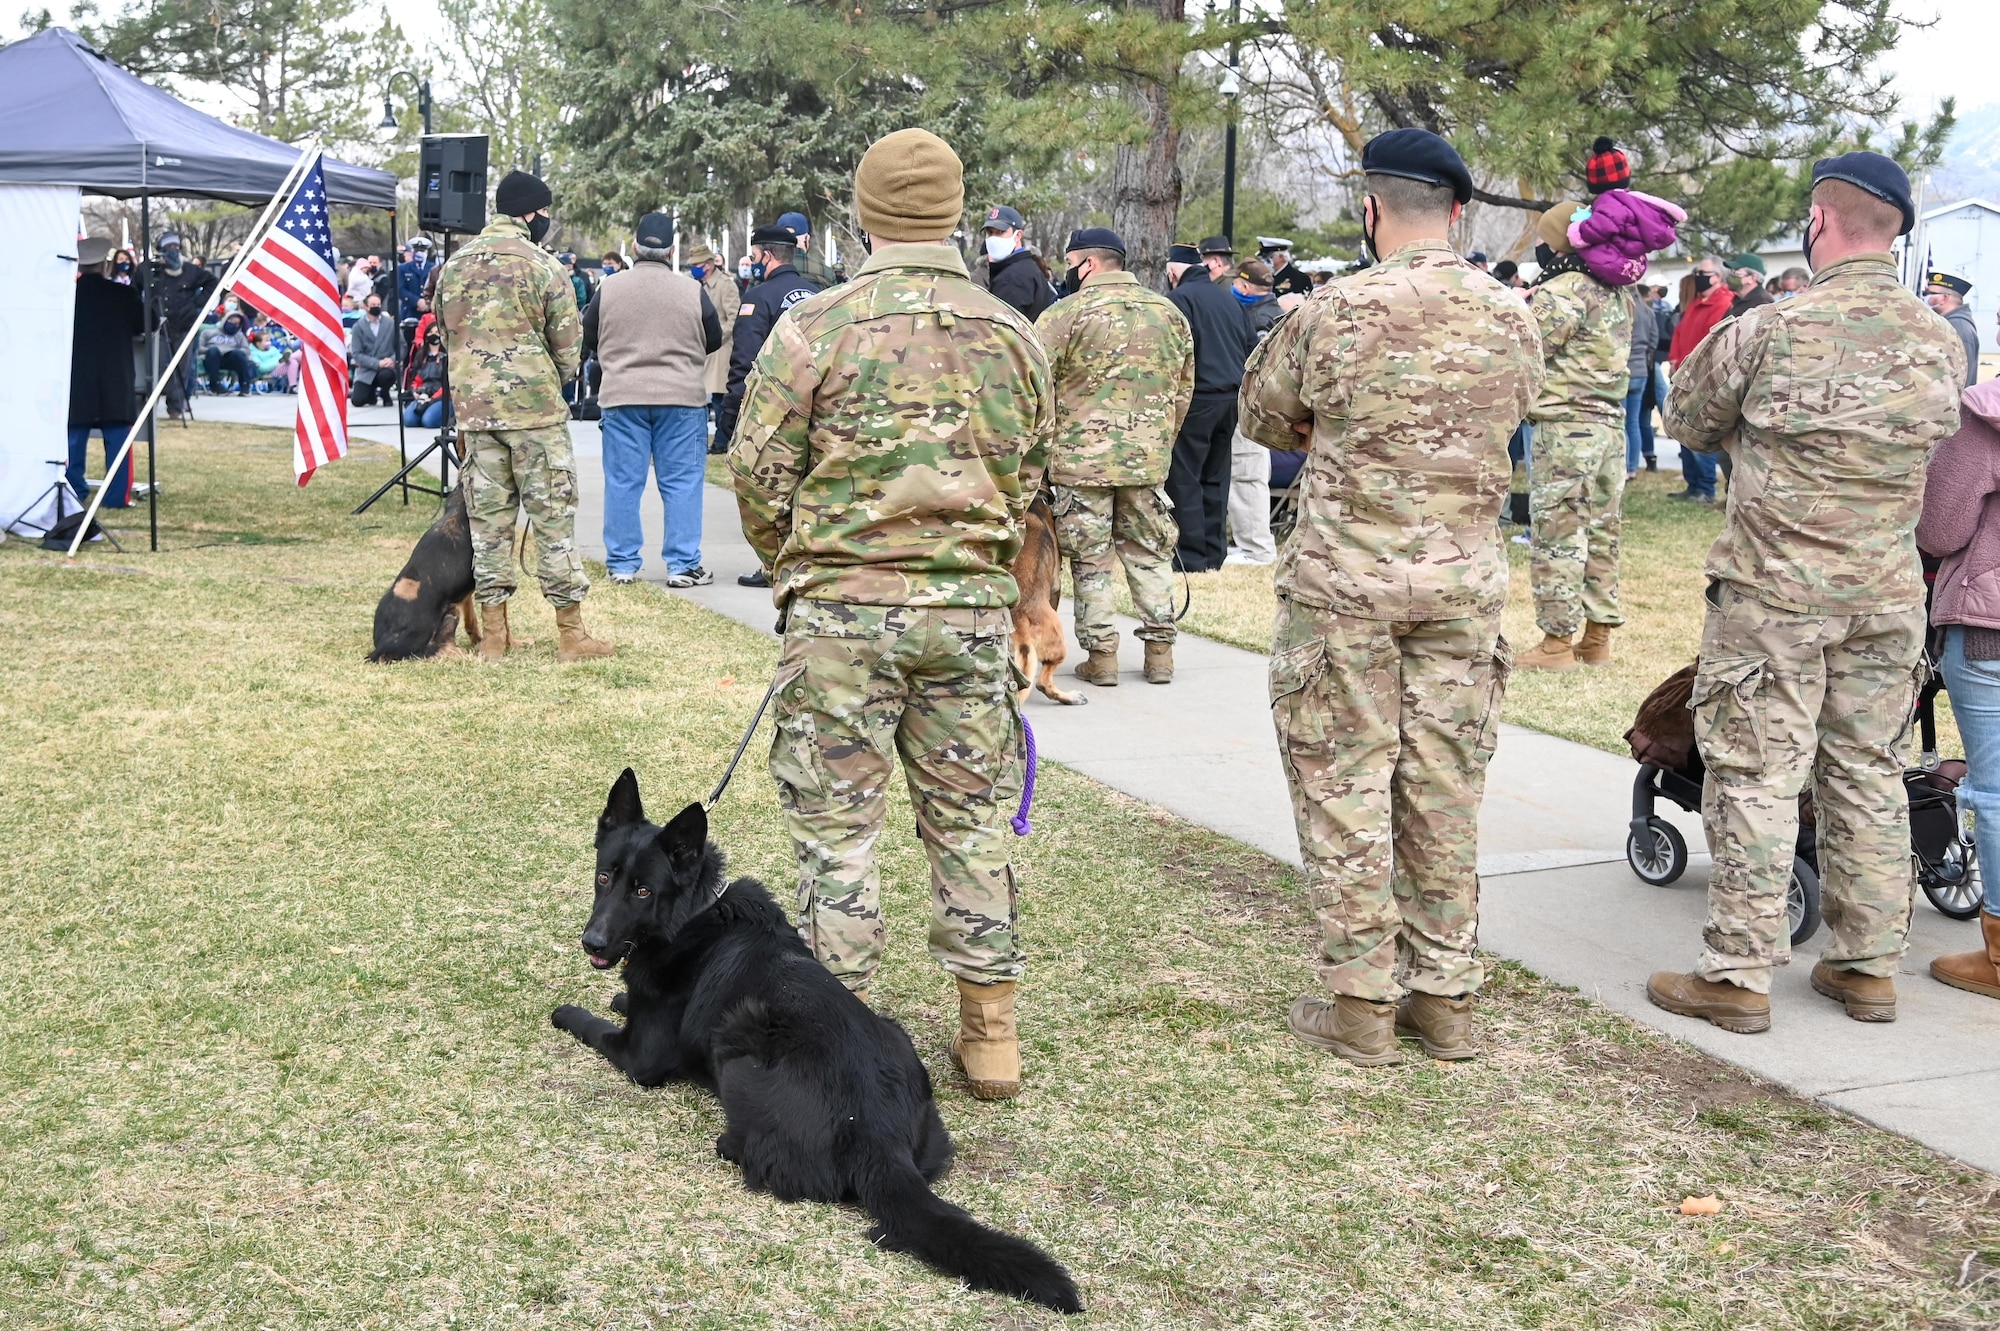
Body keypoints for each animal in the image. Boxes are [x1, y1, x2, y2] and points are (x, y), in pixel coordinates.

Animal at [548, 771, 1088, 1311]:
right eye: (604, 878)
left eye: (642, 890)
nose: (592, 942)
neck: (693, 913)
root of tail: (879, 1135)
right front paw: (619, 997)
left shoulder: (639, 1056)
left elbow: (593, 1026)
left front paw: (570, 1012)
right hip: (895, 1039)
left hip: (739, 1038)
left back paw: (730, 1144)